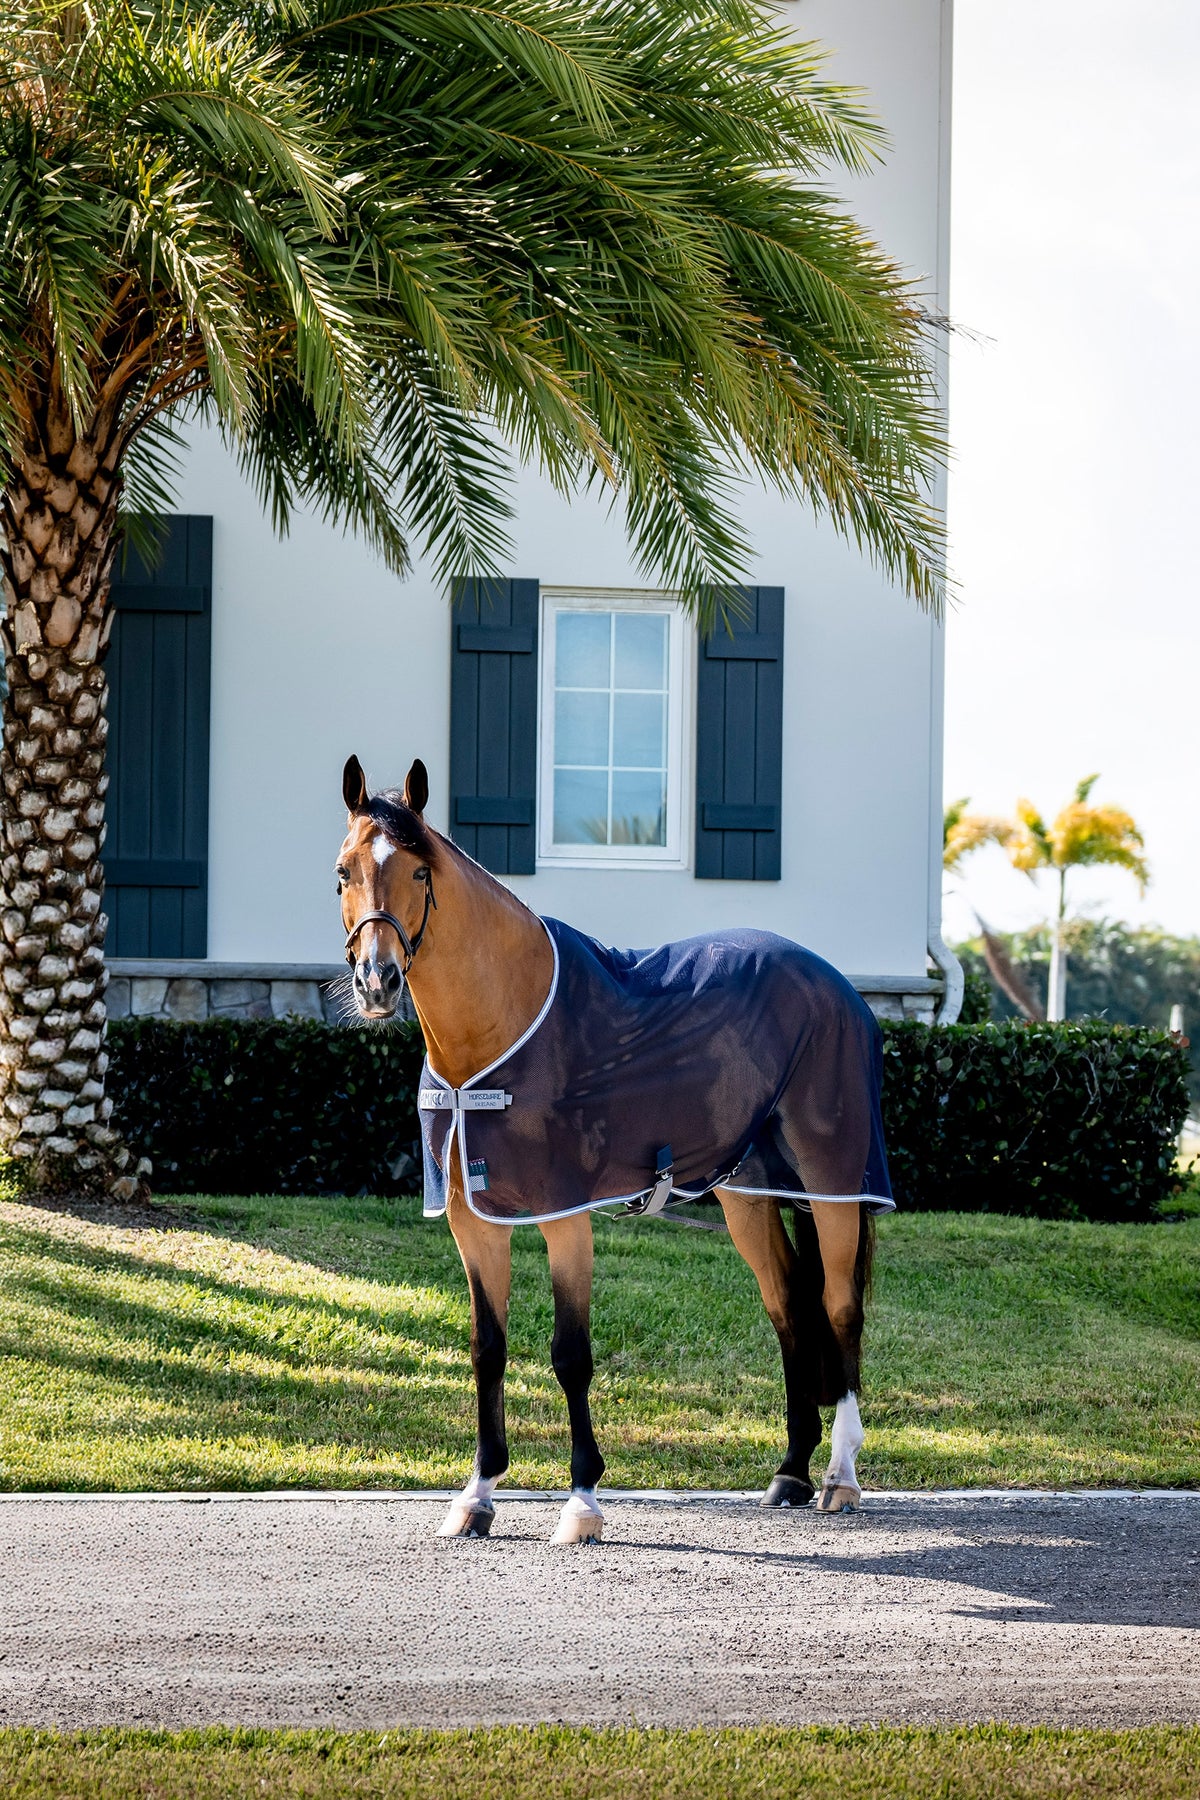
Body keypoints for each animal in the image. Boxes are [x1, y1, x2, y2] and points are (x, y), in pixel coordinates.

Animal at [335, 754, 893, 1545]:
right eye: (344, 870)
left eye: (418, 870)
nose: (377, 982)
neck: (503, 1025)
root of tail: (836, 986)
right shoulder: (474, 1220)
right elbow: (487, 1349)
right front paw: (477, 1495)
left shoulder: (565, 1215)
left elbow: (570, 1354)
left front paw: (582, 1502)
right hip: (747, 1194)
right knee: (787, 1304)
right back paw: (789, 1471)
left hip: (834, 1181)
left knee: (839, 1308)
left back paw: (840, 1476)